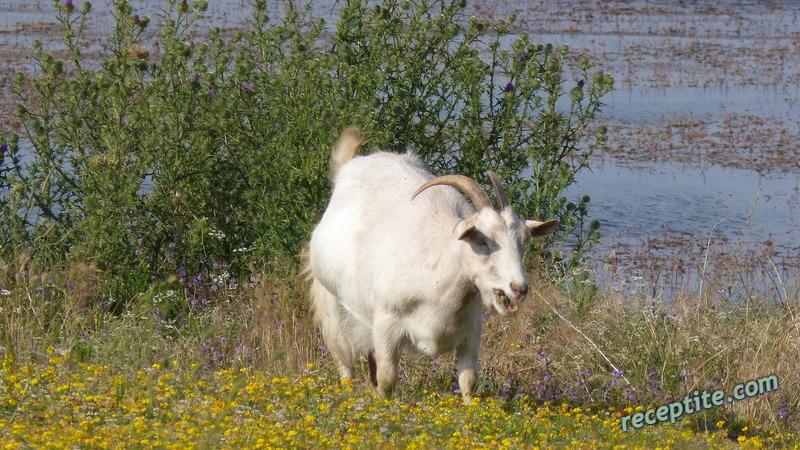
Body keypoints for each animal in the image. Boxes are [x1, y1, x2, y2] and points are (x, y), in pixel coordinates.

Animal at [306, 125, 556, 402]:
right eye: (481, 240)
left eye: (524, 242)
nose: (519, 288)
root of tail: (348, 165)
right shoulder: (385, 323)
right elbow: (388, 379)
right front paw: (383, 409)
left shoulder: (471, 331)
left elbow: (468, 380)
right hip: (332, 303)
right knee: (343, 357)